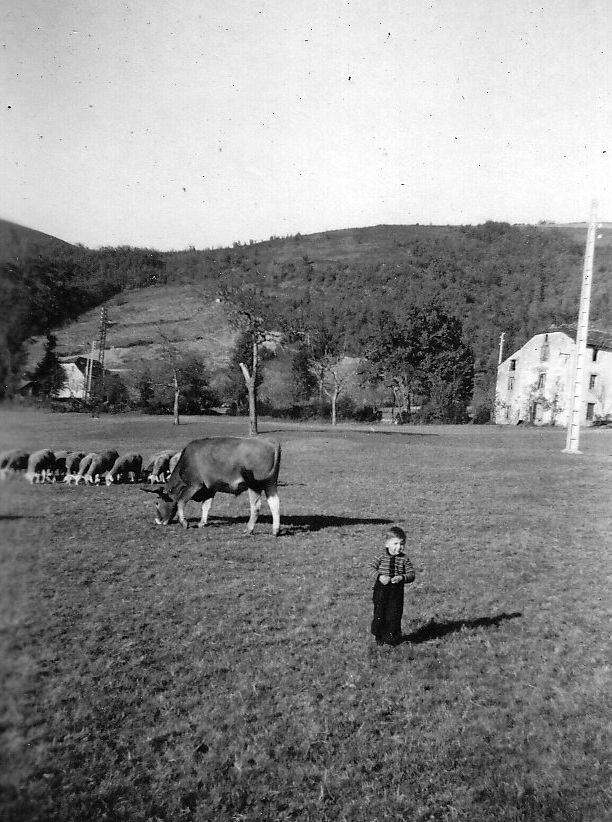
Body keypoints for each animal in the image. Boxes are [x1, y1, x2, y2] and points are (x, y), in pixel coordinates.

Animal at [143, 437, 281, 536]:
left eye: (157, 503)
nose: (157, 521)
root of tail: (271, 442)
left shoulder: (193, 485)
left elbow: (181, 502)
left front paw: (183, 522)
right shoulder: (210, 489)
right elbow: (206, 506)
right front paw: (202, 523)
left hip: (254, 485)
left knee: (256, 506)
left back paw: (249, 529)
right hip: (270, 484)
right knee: (274, 503)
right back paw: (275, 530)